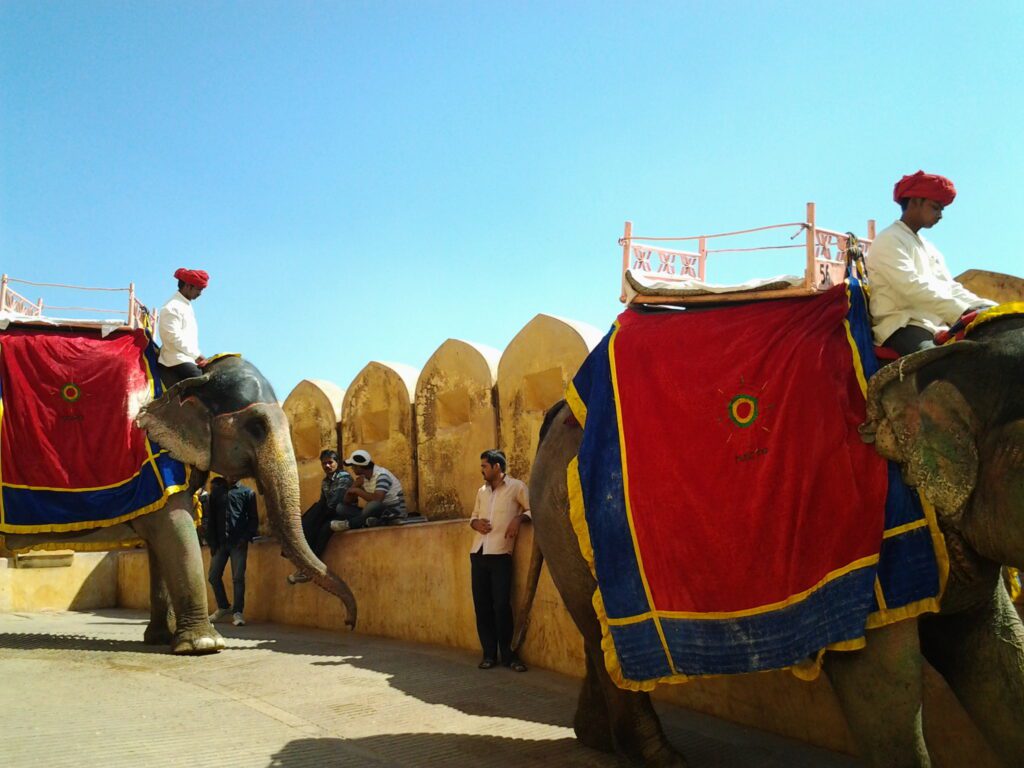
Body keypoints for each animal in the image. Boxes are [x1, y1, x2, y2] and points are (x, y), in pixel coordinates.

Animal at [3, 356, 356, 655]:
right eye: (256, 426)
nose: (349, 621)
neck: (193, 376)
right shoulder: (157, 458)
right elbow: (174, 528)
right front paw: (205, 645)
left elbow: (159, 545)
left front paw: (161, 638)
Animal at [520, 313, 1024, 768]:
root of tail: (556, 411)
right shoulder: (858, 526)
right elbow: (884, 683)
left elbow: (998, 653)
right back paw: (658, 759)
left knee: (595, 633)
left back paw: (596, 740)